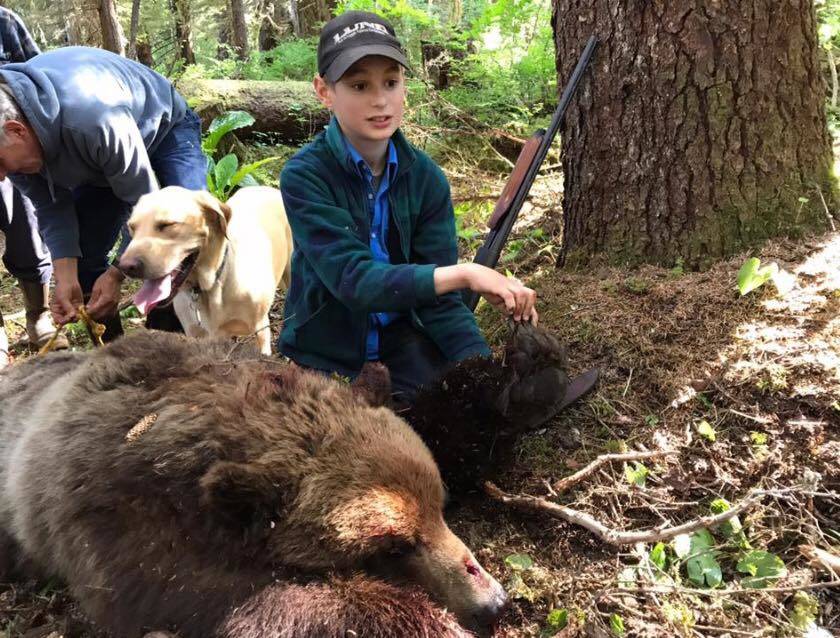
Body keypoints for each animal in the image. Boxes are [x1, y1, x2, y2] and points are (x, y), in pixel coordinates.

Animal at [119, 186, 292, 356]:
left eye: (167, 224)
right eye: (131, 228)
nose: (125, 266)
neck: (213, 284)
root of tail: (269, 188)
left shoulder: (260, 330)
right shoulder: (197, 334)